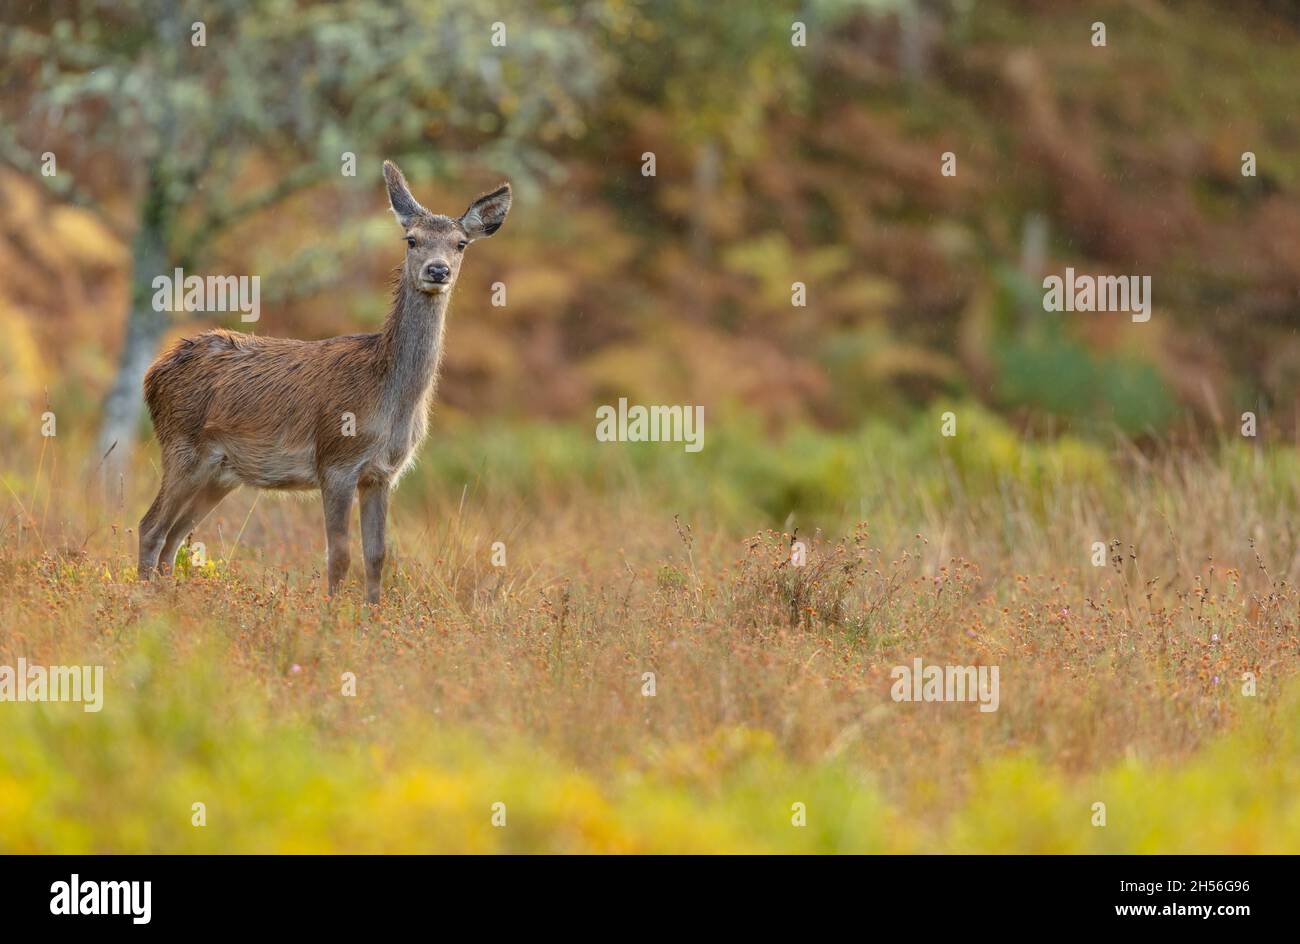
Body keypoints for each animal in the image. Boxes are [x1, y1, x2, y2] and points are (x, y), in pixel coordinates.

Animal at [137, 162, 509, 605]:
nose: (438, 270)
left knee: (173, 537)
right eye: (411, 239)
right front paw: (331, 615)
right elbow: (339, 556)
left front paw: (372, 614)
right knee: (150, 528)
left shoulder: (382, 473)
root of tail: (152, 374)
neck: (389, 397)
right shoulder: (335, 461)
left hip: (219, 474)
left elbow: (377, 556)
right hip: (182, 448)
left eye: (461, 244)